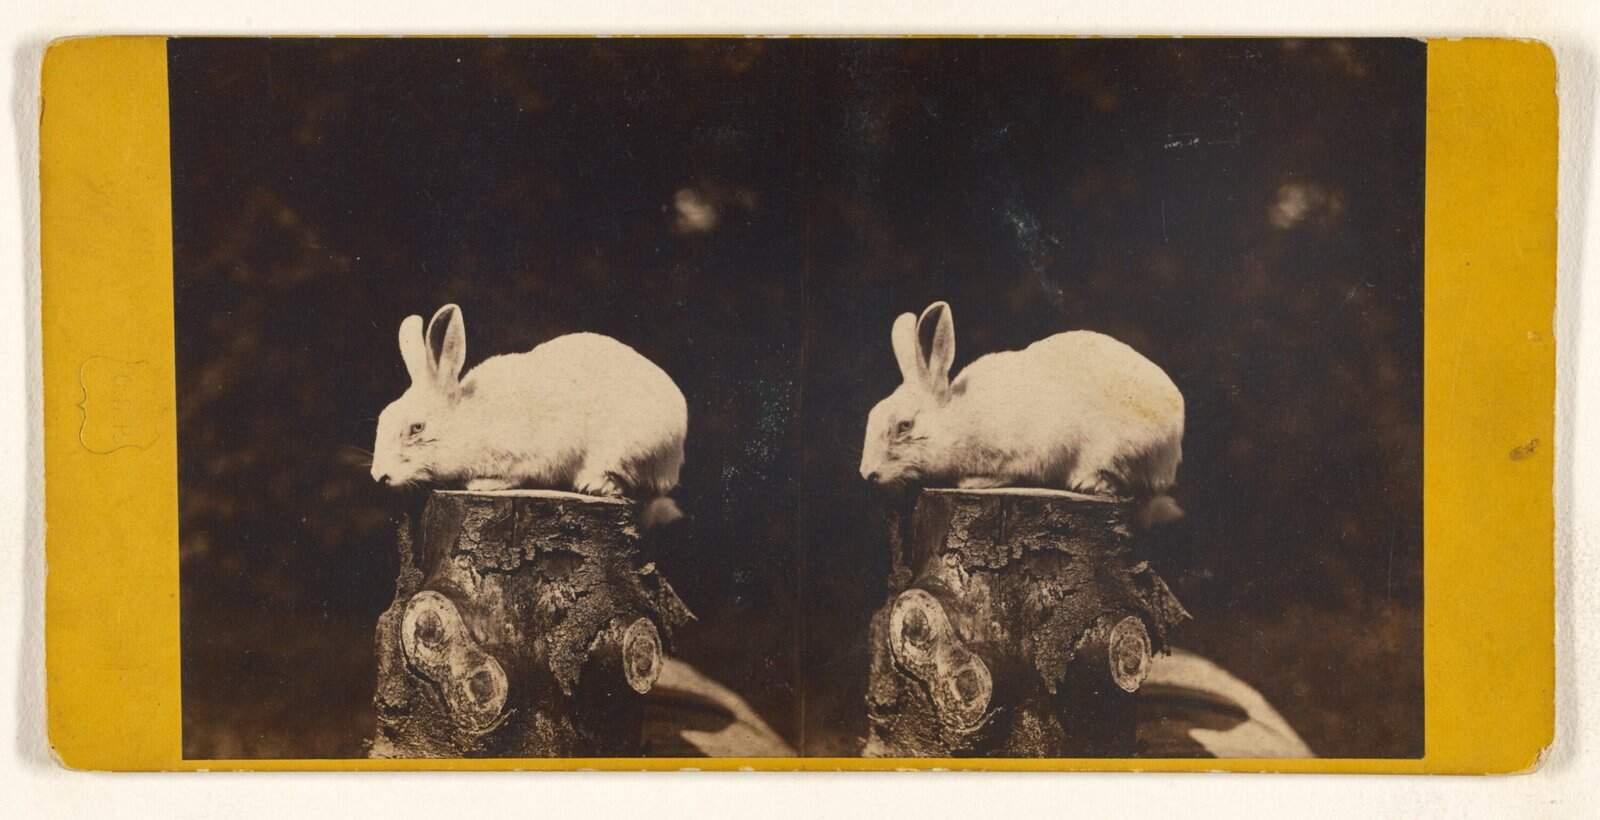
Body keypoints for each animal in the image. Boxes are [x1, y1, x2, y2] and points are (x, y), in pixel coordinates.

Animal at [371, 304, 687, 527]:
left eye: (416, 427)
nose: (378, 476)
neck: (469, 420)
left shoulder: (531, 454)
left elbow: (517, 475)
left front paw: (482, 484)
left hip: (630, 446)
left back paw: (594, 484)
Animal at [859, 301, 1185, 527]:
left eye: (904, 425)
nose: (867, 473)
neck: (958, 419)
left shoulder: (1029, 451)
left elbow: (1011, 472)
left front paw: (972, 482)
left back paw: (1089, 483)